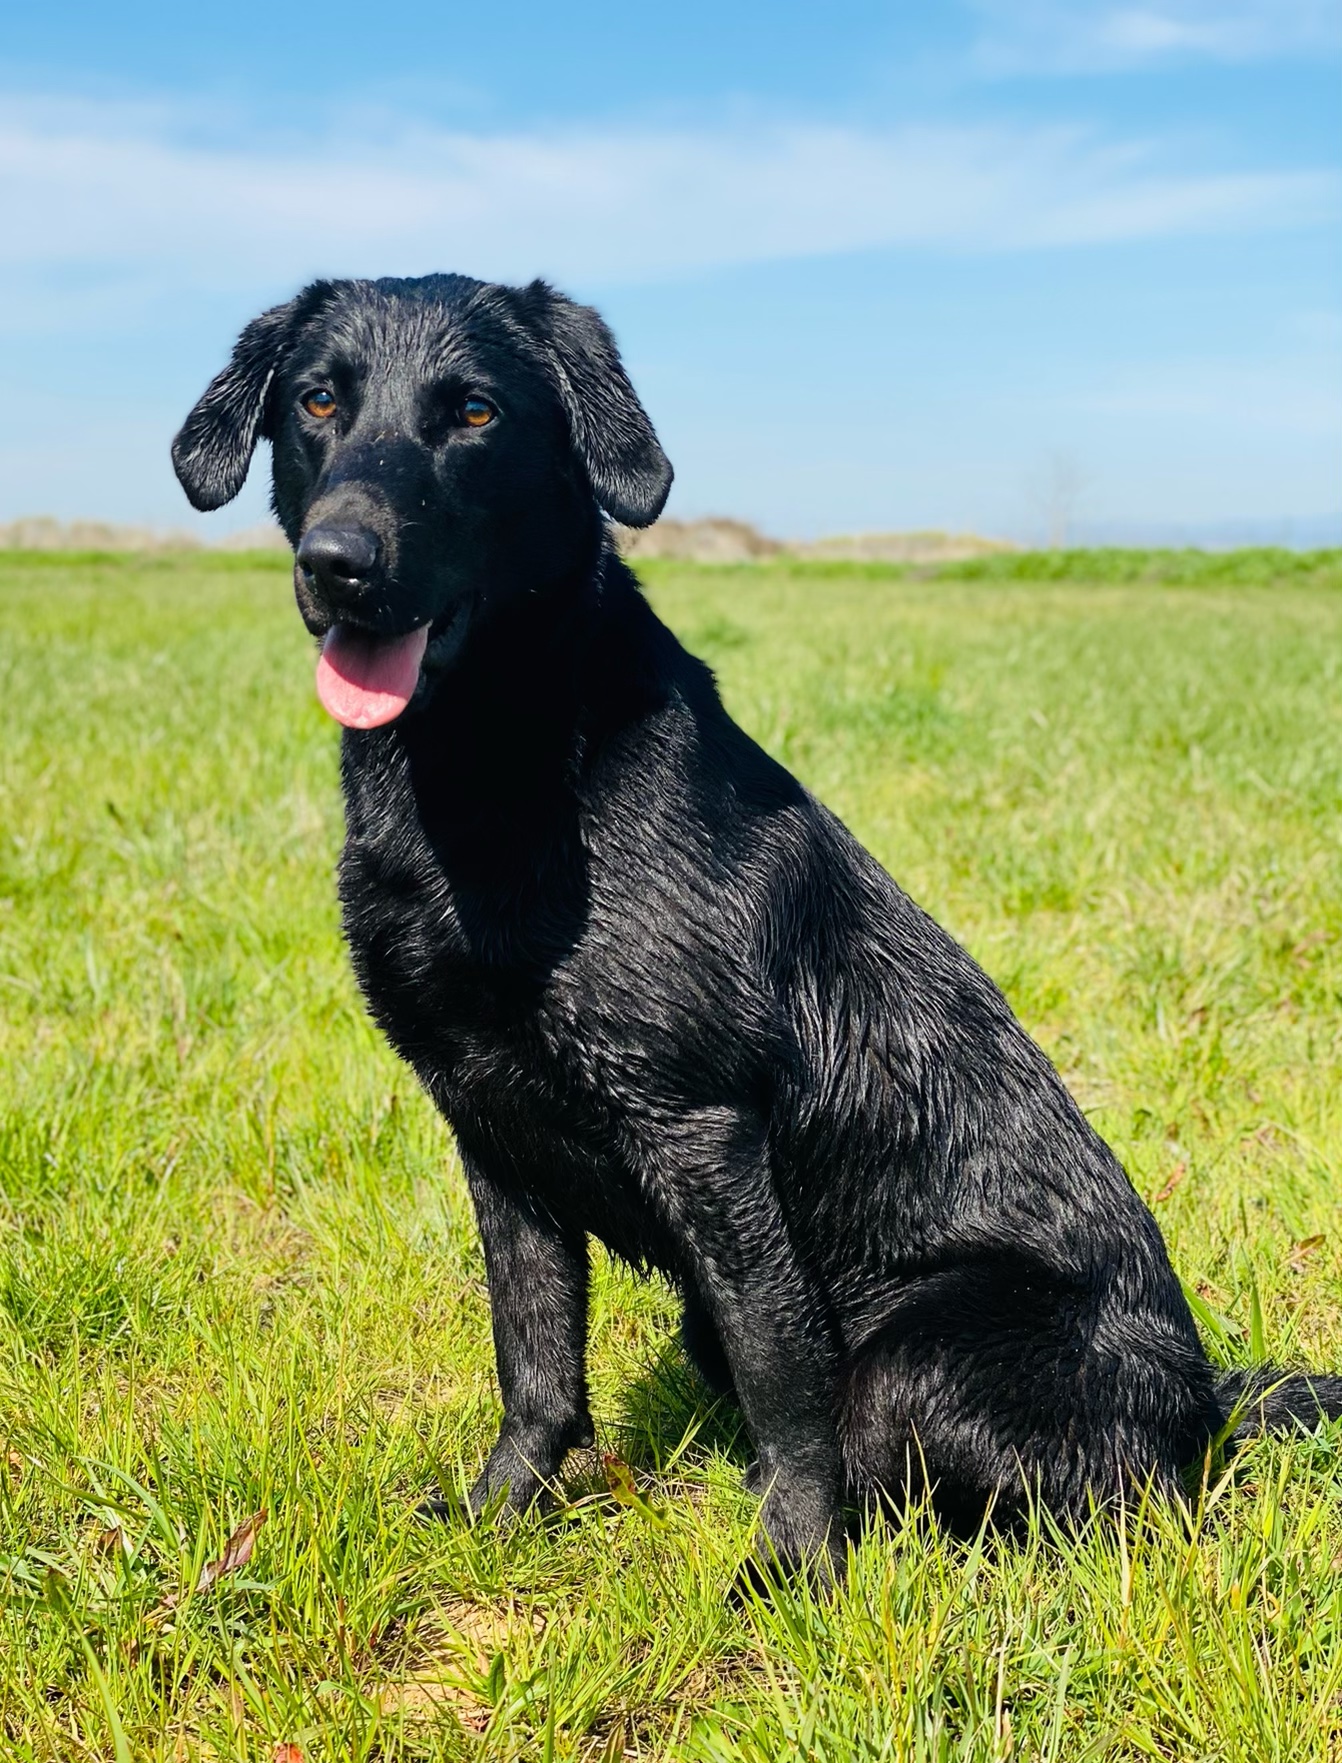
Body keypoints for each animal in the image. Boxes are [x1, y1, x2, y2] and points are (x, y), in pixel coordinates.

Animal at [175, 275, 1340, 1572]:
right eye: (318, 401)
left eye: (474, 412)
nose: (340, 562)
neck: (484, 787)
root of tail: (1208, 1399)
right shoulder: (489, 1129)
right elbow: (535, 1358)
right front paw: (498, 1514)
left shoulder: (702, 1130)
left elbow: (784, 1381)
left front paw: (789, 1573)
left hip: (922, 1353)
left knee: (1035, 1496)